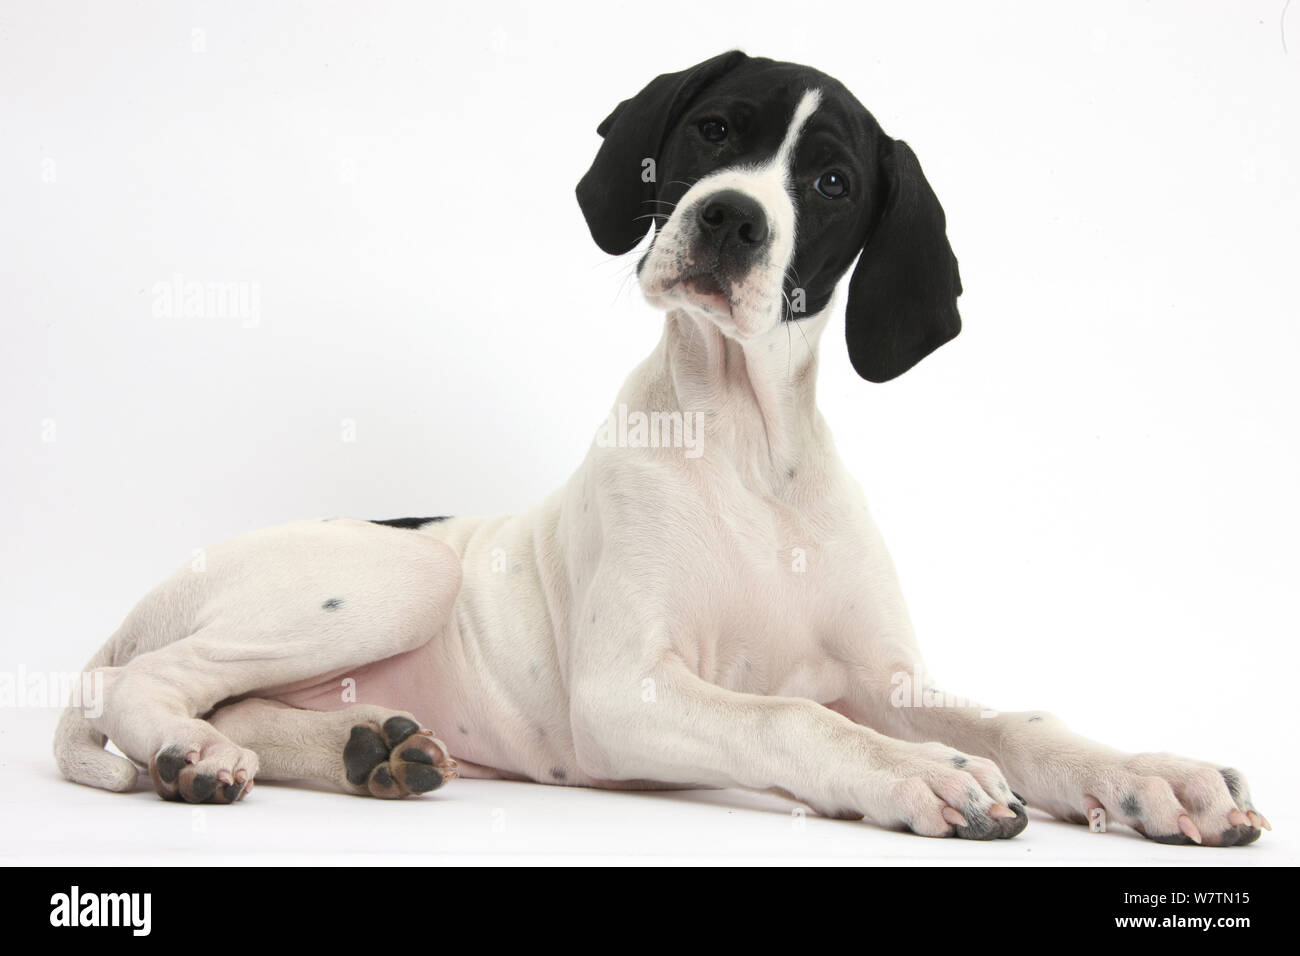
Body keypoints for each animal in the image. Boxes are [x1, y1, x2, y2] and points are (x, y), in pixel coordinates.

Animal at [55, 52, 1263, 842]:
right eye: (715, 130)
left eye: (832, 182)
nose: (731, 217)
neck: (747, 444)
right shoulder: (625, 691)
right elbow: (786, 715)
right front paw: (915, 772)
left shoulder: (886, 677)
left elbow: (1019, 719)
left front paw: (1155, 775)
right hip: (402, 569)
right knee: (151, 681)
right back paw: (192, 751)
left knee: (242, 701)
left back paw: (366, 748)